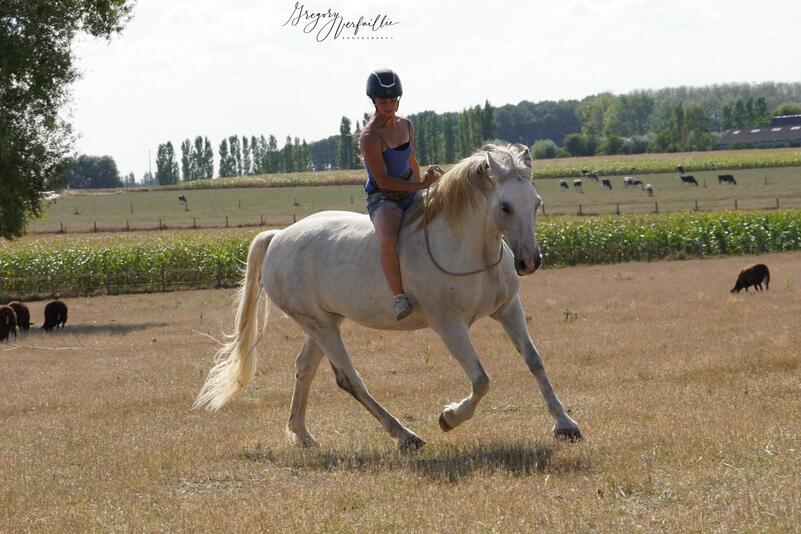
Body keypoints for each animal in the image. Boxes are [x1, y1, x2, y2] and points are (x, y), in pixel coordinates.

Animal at [193, 143, 582, 451]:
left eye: (536, 202)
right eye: (505, 207)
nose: (530, 261)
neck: (465, 247)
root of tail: (278, 237)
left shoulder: (507, 310)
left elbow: (534, 361)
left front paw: (565, 425)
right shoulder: (450, 326)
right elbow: (481, 380)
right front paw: (449, 417)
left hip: (322, 324)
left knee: (304, 369)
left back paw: (303, 435)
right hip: (321, 327)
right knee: (349, 379)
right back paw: (405, 436)